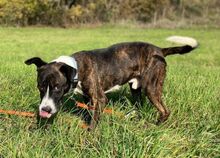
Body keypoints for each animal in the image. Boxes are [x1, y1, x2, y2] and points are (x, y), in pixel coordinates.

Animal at [25, 35, 198, 130]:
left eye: (57, 87)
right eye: (40, 87)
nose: (45, 109)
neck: (76, 68)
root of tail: (160, 50)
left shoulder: (100, 99)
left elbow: (94, 120)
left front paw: (90, 134)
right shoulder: (88, 98)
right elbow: (89, 114)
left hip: (152, 88)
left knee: (164, 111)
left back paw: (156, 126)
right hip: (135, 88)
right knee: (139, 105)